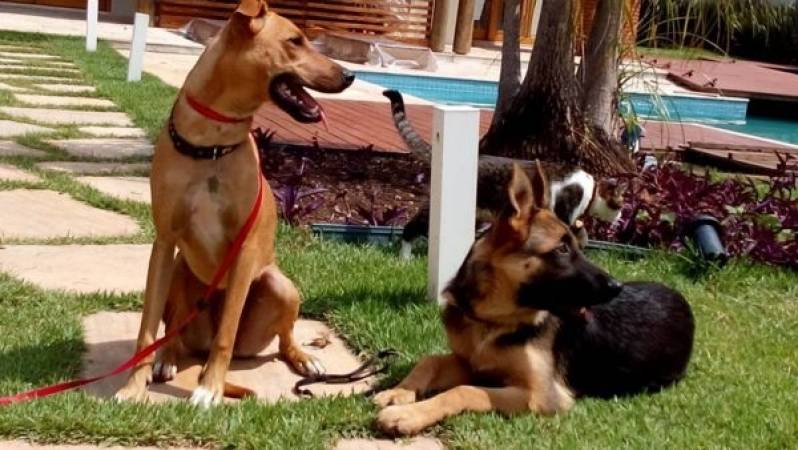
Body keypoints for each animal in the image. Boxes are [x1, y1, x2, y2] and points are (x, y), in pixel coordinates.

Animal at [112, 0, 354, 406]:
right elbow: (146, 330)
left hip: (279, 284)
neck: (213, 144)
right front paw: (133, 387)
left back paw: (303, 358)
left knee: (280, 337)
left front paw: (210, 389)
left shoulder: (244, 250)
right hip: (179, 270)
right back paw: (167, 357)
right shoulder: (164, 242)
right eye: (295, 41)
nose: (351, 75)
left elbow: (225, 333)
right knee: (173, 329)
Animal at [384, 89, 628, 258]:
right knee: (411, 228)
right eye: (621, 205)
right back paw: (404, 259)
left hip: (478, 216)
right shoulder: (563, 214)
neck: (590, 189)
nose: (621, 217)